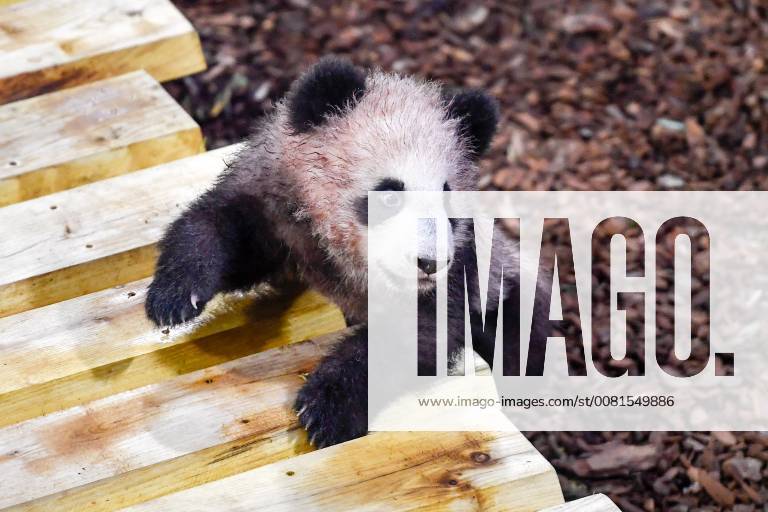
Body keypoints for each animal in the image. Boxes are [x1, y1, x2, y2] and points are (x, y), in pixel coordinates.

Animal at [146, 57, 550, 448]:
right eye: (389, 195)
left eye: (447, 198)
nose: (430, 263)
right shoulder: (281, 206)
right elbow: (226, 232)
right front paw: (175, 296)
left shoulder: (461, 270)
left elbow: (414, 335)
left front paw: (327, 407)